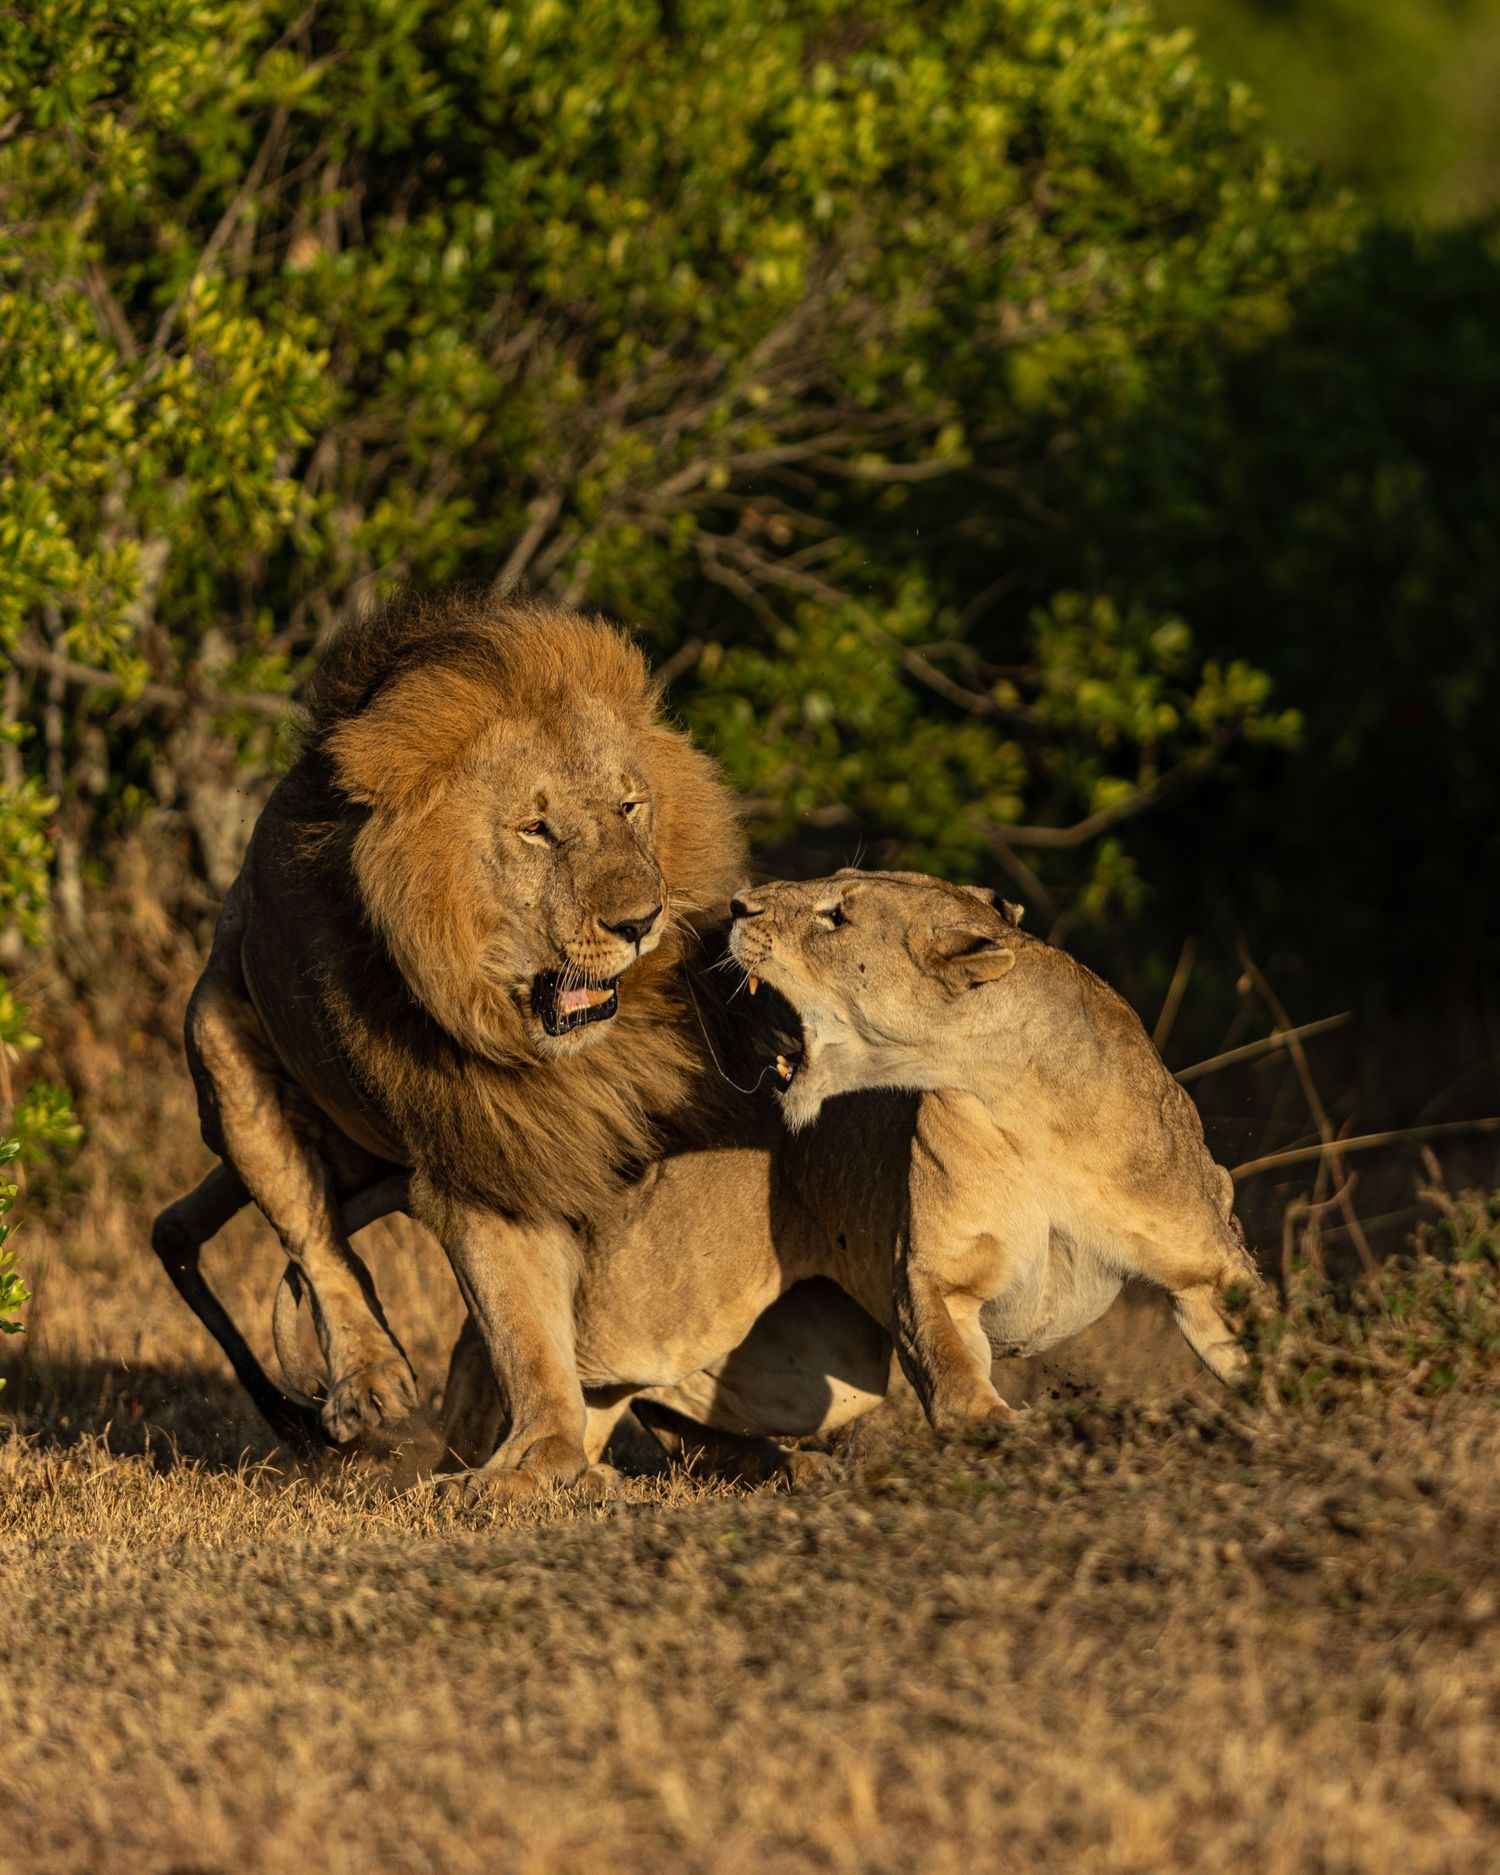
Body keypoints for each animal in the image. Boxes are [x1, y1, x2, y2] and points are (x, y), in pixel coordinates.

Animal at [151, 589, 746, 1501]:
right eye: (537, 829)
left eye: (630, 806)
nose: (640, 921)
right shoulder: (480, 1148)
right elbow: (523, 1323)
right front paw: (538, 1457)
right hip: (225, 1054)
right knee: (308, 1236)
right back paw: (367, 1385)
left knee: (179, 1226)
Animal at [435, 868, 1262, 1469]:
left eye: (837, 915)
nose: (739, 903)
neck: (1018, 1095)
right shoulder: (933, 1275)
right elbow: (954, 1372)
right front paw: (1009, 1429)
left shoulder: (1206, 1263)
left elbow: (1257, 1335)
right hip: (660, 1307)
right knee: (546, 1357)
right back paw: (515, 1471)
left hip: (815, 1378)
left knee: (669, 1402)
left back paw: (778, 1468)